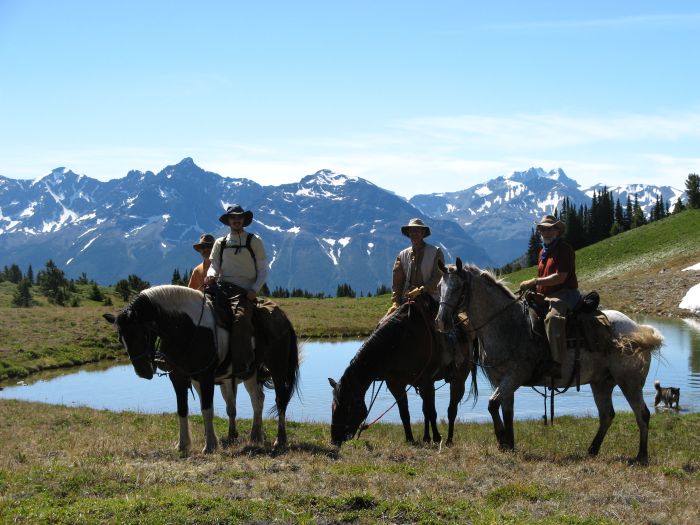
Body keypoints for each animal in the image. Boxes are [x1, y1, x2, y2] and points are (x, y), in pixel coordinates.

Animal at [104, 284, 298, 452]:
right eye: (121, 338)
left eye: (141, 334)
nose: (143, 372)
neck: (187, 328)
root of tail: (283, 318)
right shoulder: (179, 376)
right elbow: (182, 408)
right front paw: (183, 445)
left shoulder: (205, 376)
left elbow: (207, 409)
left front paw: (210, 445)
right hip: (250, 372)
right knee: (257, 399)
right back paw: (255, 436)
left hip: (278, 368)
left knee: (280, 400)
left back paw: (280, 440)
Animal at [328, 298, 476, 446]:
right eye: (332, 406)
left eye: (348, 407)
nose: (335, 439)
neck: (397, 343)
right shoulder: (395, 384)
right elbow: (405, 413)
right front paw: (410, 439)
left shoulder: (426, 382)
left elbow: (432, 412)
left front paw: (437, 438)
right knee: (426, 410)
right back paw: (426, 438)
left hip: (458, 380)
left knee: (451, 410)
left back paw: (448, 440)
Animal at [434, 260, 664, 460]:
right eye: (439, 286)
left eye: (458, 287)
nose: (441, 321)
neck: (507, 324)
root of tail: (637, 328)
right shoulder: (502, 380)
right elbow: (506, 411)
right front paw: (509, 445)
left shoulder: (514, 376)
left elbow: (492, 405)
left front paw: (501, 440)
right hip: (602, 383)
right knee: (607, 415)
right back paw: (592, 450)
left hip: (629, 382)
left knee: (642, 414)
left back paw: (641, 456)